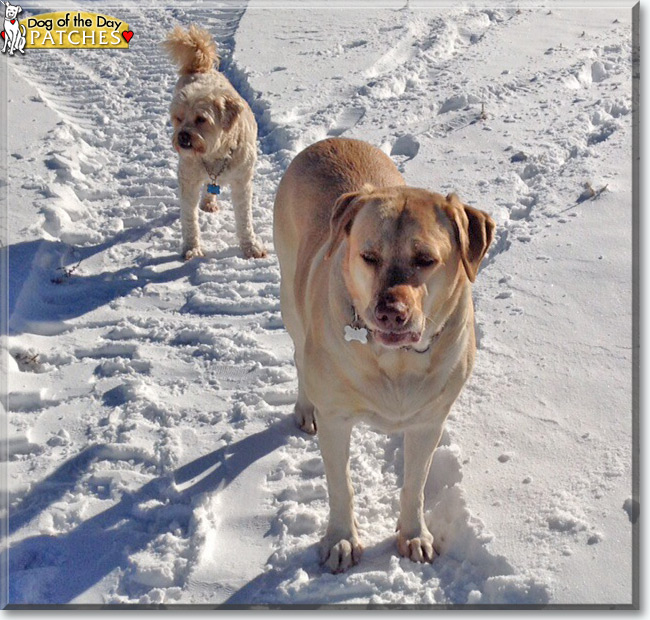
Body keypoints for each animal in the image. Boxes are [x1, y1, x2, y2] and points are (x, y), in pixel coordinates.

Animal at [163, 24, 264, 260]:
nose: (182, 137)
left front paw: (250, 247)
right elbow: (189, 218)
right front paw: (192, 248)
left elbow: (244, 219)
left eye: (201, 119)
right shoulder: (189, 180)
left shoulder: (242, 182)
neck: (215, 154)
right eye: (178, 118)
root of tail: (200, 67)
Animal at [272, 138, 492, 572]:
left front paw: (414, 535)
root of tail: (329, 141)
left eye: (426, 259)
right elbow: (341, 486)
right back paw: (304, 407)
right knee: (299, 355)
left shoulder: (429, 421)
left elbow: (415, 485)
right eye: (368, 256)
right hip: (291, 298)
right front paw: (341, 540)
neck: (398, 361)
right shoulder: (337, 419)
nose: (390, 312)